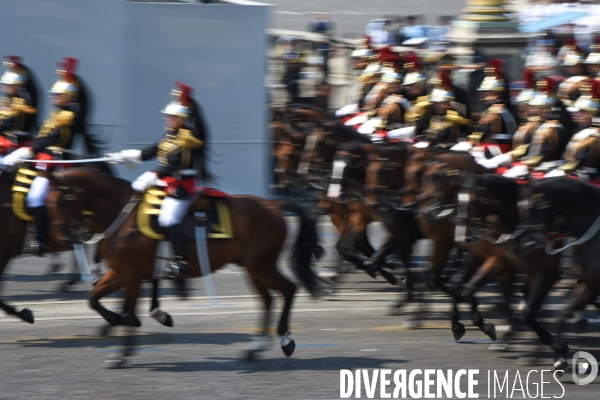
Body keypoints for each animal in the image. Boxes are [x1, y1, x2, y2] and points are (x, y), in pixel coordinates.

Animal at [45, 167, 324, 368]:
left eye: (58, 202)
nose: (61, 240)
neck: (124, 218)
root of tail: (274, 205)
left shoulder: (132, 275)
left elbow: (128, 312)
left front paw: (121, 350)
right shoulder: (121, 273)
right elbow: (93, 298)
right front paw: (121, 323)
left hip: (261, 266)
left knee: (288, 289)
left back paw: (285, 340)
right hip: (253, 268)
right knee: (268, 300)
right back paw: (254, 349)